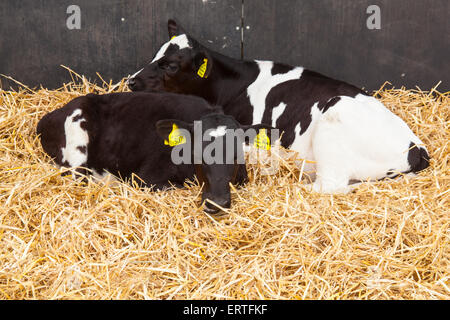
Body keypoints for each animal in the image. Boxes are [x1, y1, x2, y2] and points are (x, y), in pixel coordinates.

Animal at [129, 20, 428, 195]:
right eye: (155, 55)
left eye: (170, 66)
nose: (132, 81)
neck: (232, 84)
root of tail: (417, 148)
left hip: (333, 125)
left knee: (328, 186)